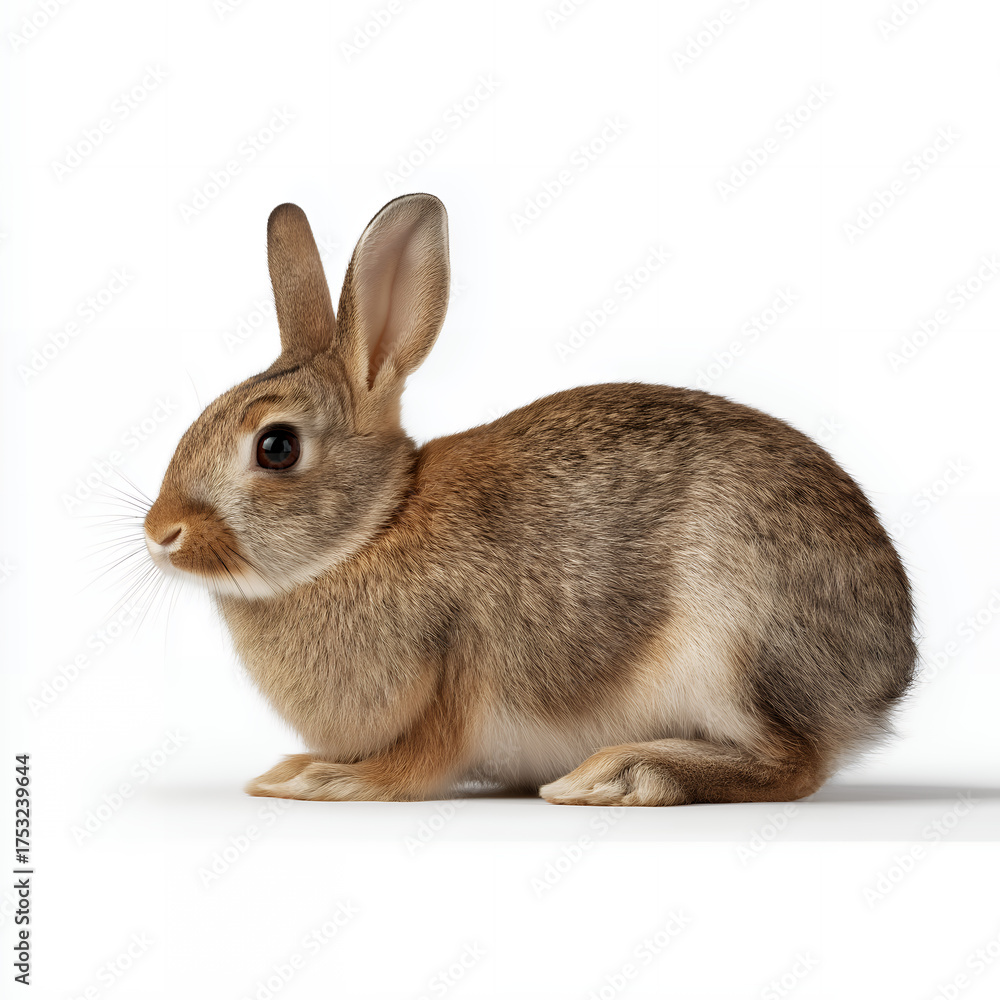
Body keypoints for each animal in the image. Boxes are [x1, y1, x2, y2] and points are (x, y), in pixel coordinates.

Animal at [143, 193, 916, 806]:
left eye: (276, 447)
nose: (160, 533)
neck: (374, 527)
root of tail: (886, 670)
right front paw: (292, 769)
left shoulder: (458, 668)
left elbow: (424, 757)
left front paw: (329, 780)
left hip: (735, 641)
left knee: (794, 764)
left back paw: (625, 775)